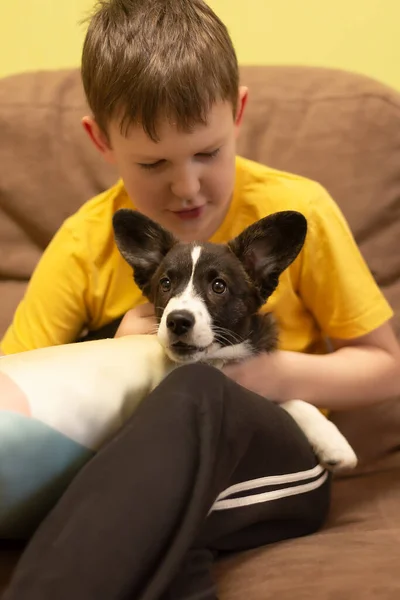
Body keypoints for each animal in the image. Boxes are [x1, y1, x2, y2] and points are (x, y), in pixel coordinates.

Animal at [114, 209, 358, 472]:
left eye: (218, 286)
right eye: (165, 284)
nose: (177, 321)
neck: (215, 359)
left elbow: (292, 399)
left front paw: (333, 442)